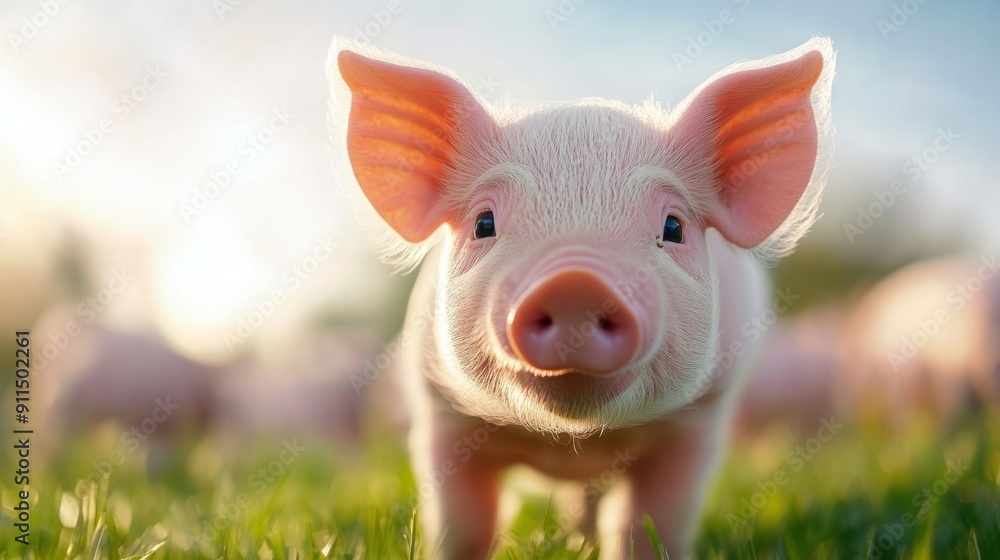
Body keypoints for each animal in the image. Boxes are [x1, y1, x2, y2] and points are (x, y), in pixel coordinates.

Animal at [327, 36, 834, 559]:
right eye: (484, 223)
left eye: (673, 228)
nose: (575, 281)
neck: (573, 438)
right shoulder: (441, 414)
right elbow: (465, 523)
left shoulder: (698, 422)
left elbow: (649, 523)